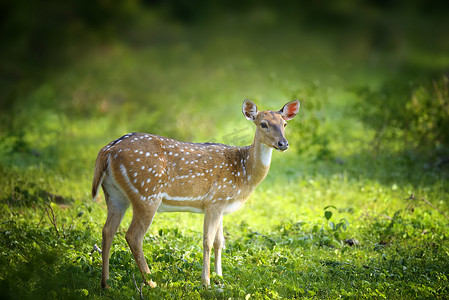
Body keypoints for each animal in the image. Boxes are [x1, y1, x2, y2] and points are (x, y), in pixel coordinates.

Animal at [91, 99, 300, 288]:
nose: (283, 143)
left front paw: (220, 278)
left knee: (107, 231)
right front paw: (206, 282)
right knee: (133, 236)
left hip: (115, 195)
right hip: (147, 193)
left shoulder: (221, 205)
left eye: (284, 124)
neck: (244, 171)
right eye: (263, 124)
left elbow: (219, 241)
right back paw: (151, 283)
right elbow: (207, 241)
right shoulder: (215, 201)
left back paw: (105, 284)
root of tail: (107, 151)